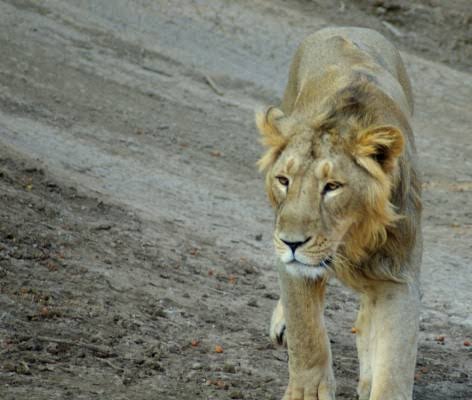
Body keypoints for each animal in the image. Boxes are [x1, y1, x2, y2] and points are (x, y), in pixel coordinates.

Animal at [256, 28, 422, 400]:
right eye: (284, 180)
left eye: (332, 186)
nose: (292, 242)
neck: (349, 239)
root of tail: (348, 27)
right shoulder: (291, 263)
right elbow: (307, 333)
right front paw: (307, 391)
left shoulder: (398, 273)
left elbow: (394, 359)